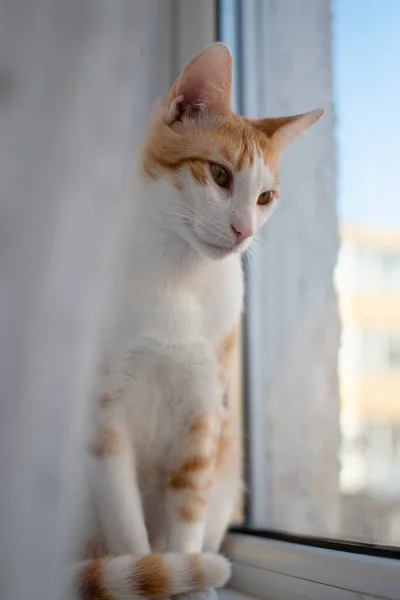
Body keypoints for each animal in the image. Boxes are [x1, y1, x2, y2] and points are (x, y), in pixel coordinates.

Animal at [70, 43, 324, 600]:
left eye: (265, 198)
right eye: (221, 175)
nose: (243, 230)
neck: (178, 275)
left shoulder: (203, 411)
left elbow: (185, 521)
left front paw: (188, 579)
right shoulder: (105, 421)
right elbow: (130, 530)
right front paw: (148, 574)